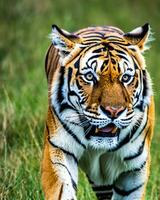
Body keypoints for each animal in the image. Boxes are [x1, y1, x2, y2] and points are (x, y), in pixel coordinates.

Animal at [41, 23, 155, 200]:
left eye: (126, 78)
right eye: (89, 76)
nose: (114, 111)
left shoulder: (135, 168)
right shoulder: (58, 150)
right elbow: (63, 190)